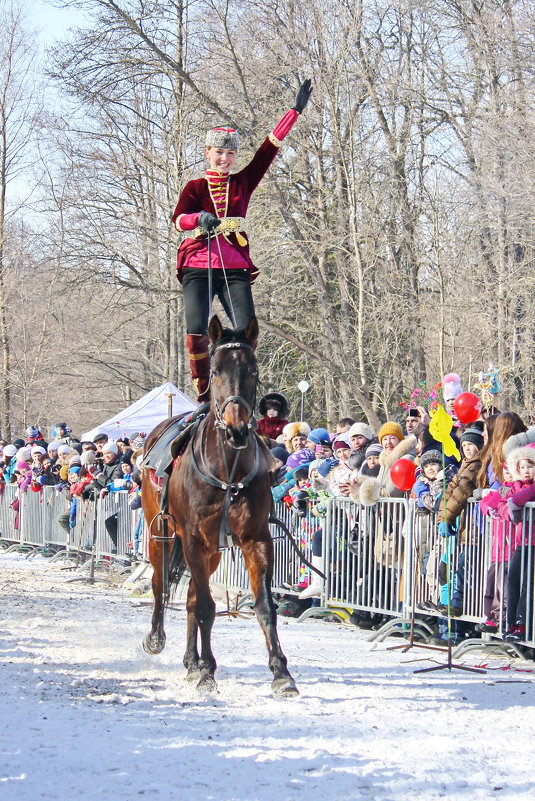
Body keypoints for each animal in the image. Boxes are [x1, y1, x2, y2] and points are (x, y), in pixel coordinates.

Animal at [140, 316, 300, 696]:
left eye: (253, 370)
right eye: (215, 371)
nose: (237, 430)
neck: (228, 468)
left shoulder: (255, 539)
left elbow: (264, 606)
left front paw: (281, 673)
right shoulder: (192, 539)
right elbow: (207, 607)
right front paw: (208, 672)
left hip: (212, 551)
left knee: (190, 597)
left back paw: (191, 661)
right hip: (162, 536)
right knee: (160, 584)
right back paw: (157, 639)